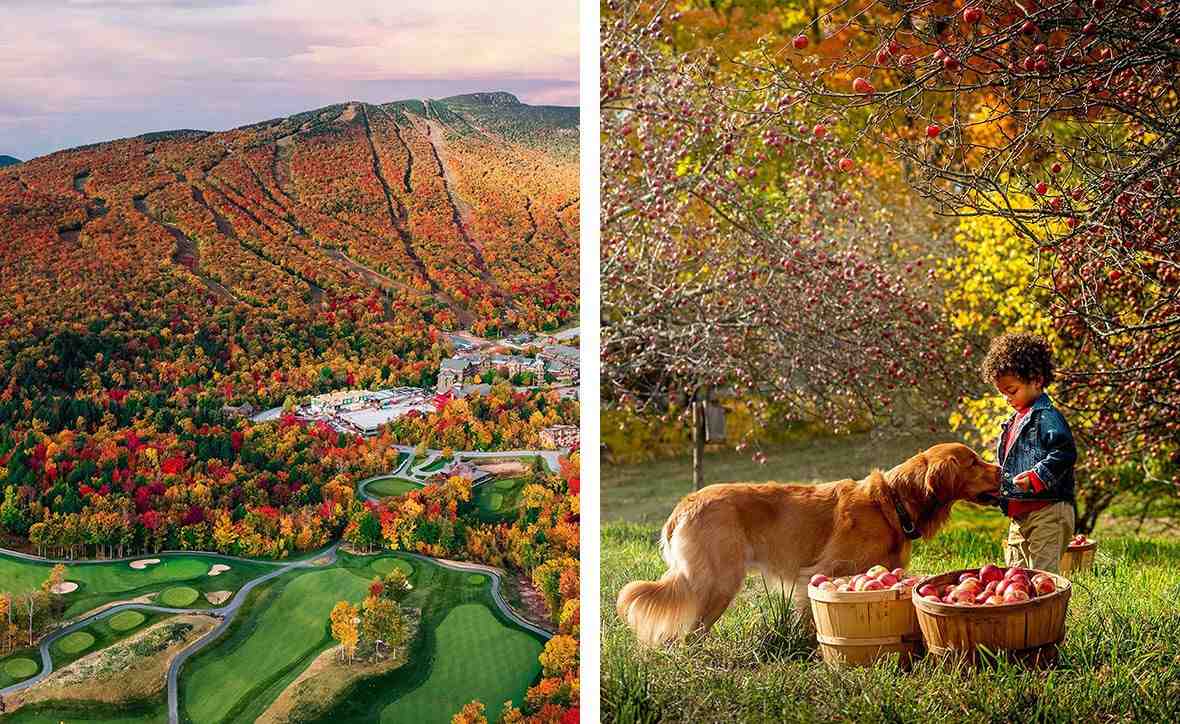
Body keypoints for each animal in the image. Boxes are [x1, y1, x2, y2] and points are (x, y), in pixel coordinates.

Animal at [618, 443, 995, 646]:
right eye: (974, 462)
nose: (1001, 468)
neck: (891, 502)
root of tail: (686, 503)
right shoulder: (822, 573)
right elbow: (813, 618)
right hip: (718, 583)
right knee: (691, 634)